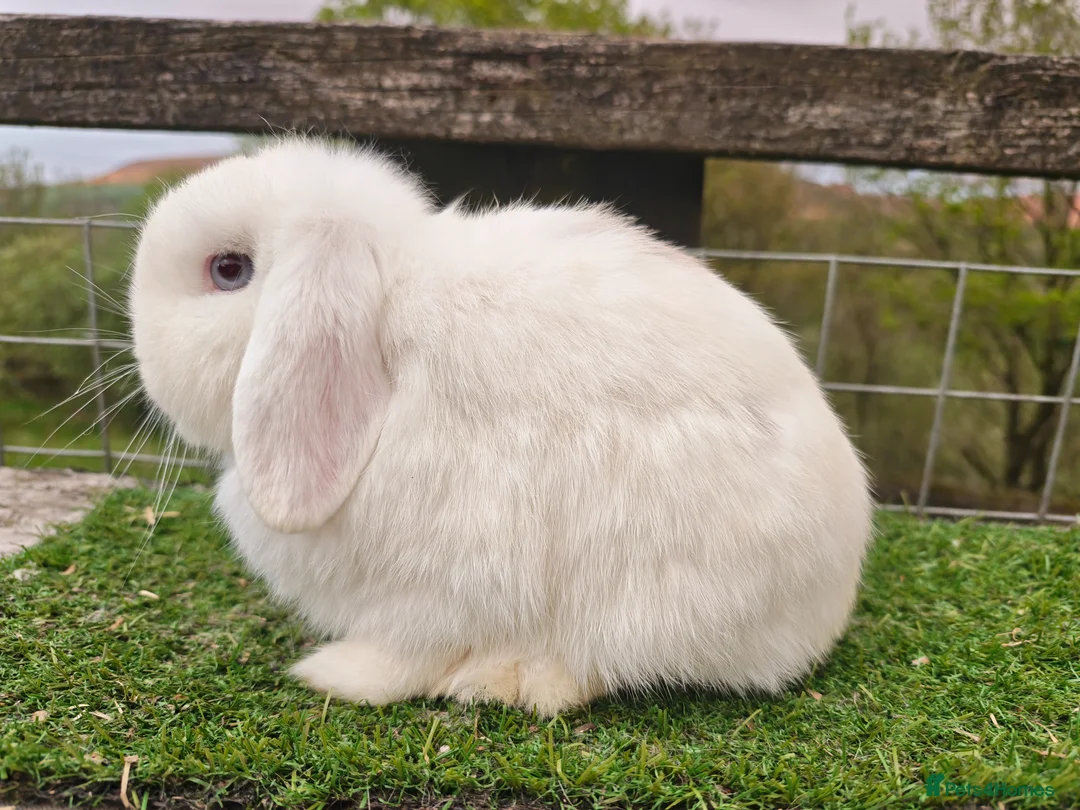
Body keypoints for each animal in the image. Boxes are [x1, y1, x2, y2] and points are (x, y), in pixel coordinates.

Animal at [128, 135, 874, 716]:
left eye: (228, 270)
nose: (142, 356)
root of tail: (825, 608)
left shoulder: (437, 582)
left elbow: (405, 652)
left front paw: (335, 675)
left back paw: (504, 678)